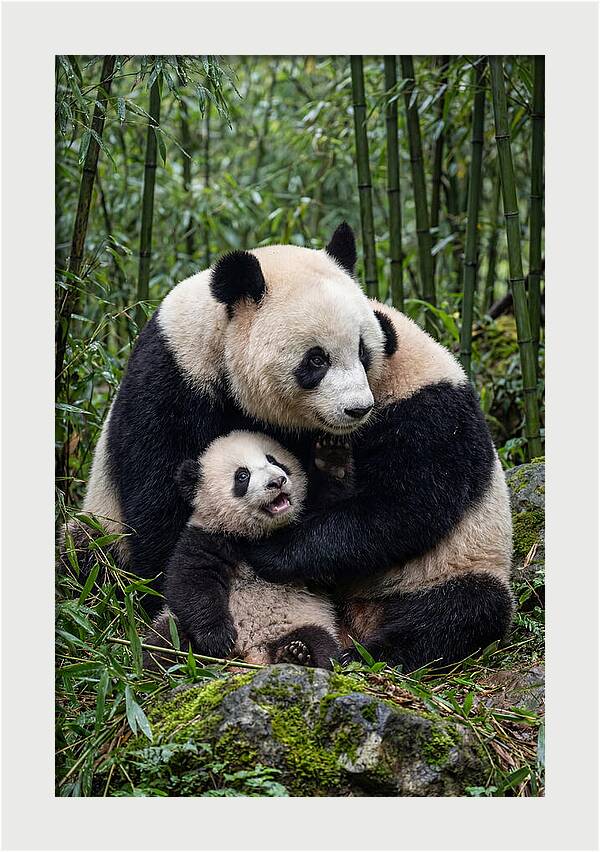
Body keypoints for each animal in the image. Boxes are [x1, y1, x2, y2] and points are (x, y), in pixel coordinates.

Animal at [144, 430, 341, 670]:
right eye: (242, 476)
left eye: (274, 461)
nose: (277, 481)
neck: (254, 533)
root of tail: (252, 652)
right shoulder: (207, 537)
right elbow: (191, 582)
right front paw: (218, 639)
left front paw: (331, 459)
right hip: (173, 625)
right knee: (164, 642)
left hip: (303, 620)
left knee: (320, 642)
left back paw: (297, 655)